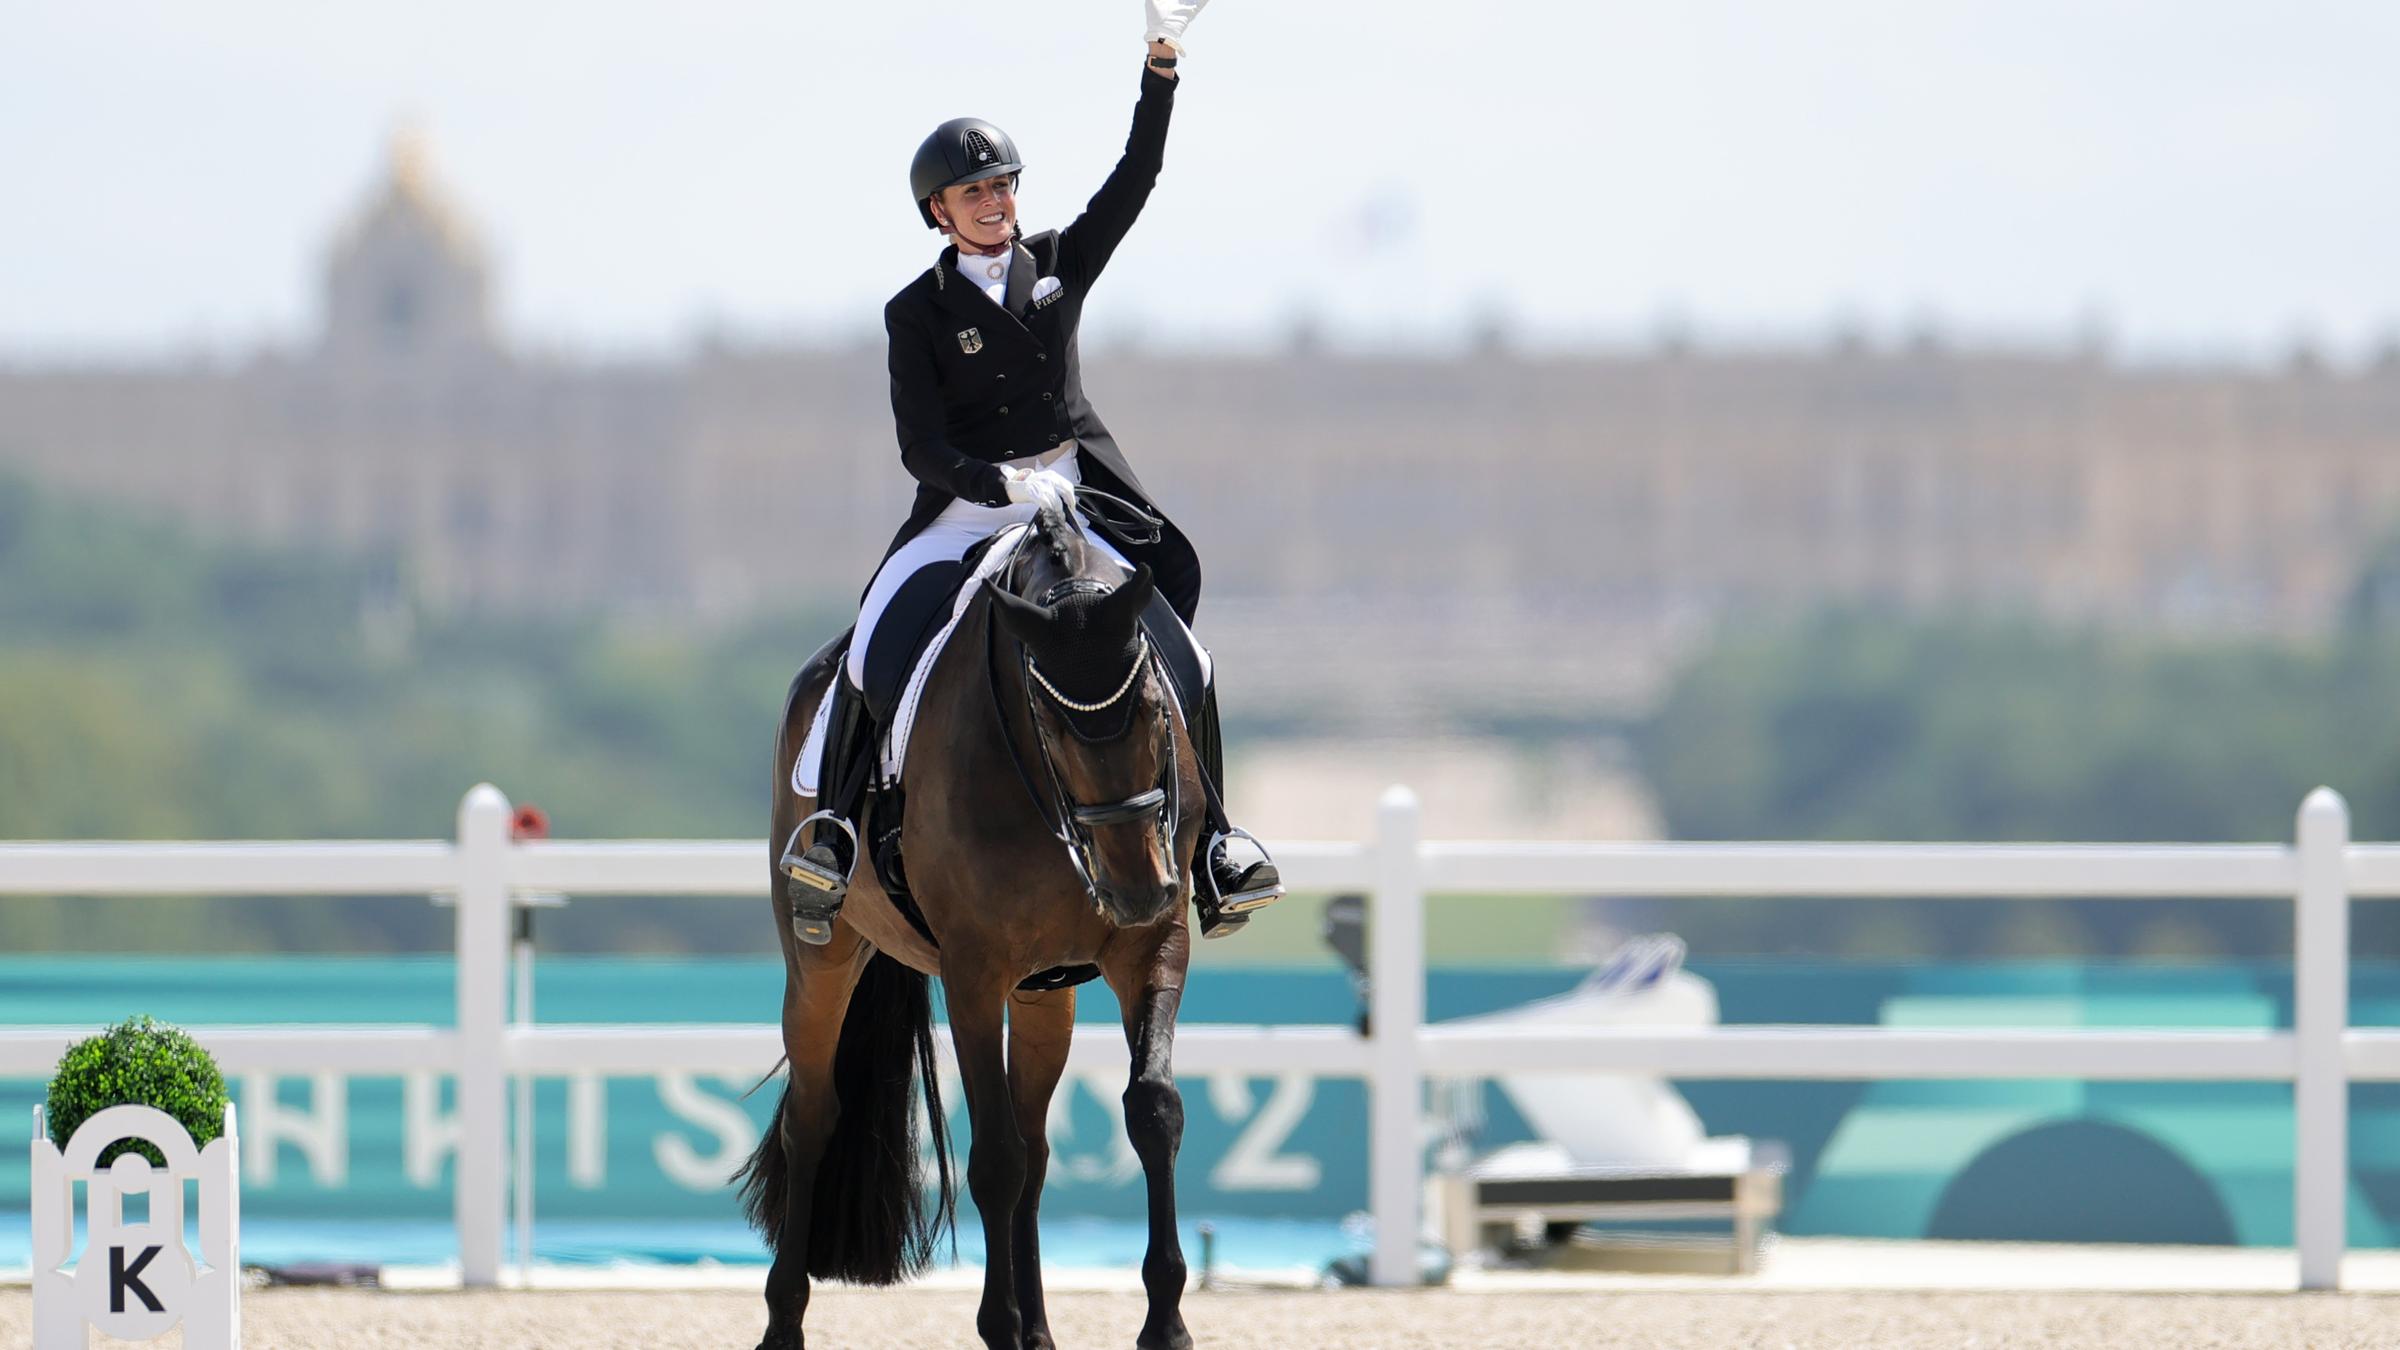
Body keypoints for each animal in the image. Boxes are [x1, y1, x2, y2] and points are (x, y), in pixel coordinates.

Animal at [740, 498, 1207, 1350]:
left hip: (1045, 992)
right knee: (814, 1119)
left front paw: (1165, 1323)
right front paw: (998, 1324)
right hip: (821, 962)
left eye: (1160, 708)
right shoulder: (973, 974)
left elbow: (1153, 1112)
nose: (1137, 888)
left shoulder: (1153, 949)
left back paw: (1042, 1333)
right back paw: (784, 1323)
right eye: (1048, 723)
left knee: (1037, 1146)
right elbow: (993, 1159)